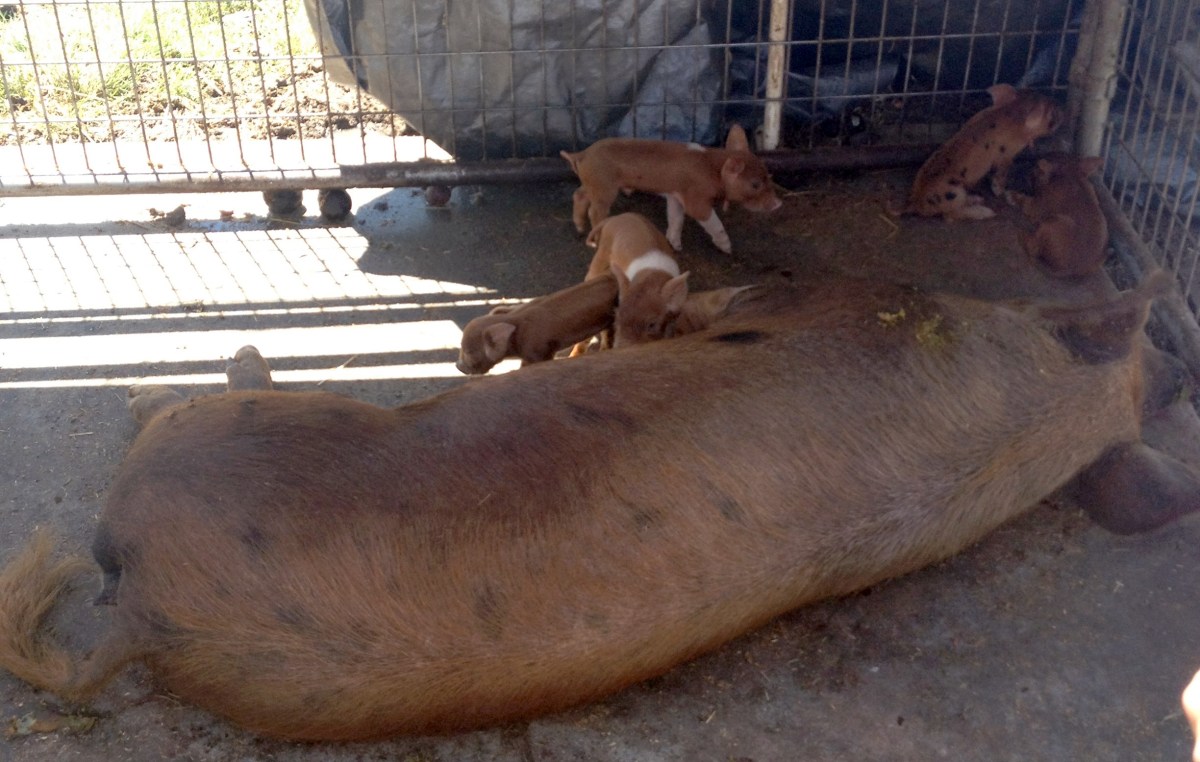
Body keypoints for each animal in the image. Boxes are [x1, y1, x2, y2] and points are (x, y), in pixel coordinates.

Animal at [560, 124, 782, 254]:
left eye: (768, 176)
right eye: (755, 184)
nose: (778, 204)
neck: (713, 167)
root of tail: (581, 154)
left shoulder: (676, 195)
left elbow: (676, 218)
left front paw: (675, 245)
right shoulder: (696, 199)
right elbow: (711, 221)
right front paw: (727, 248)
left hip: (593, 183)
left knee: (578, 195)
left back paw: (579, 228)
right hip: (604, 187)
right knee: (595, 211)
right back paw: (595, 240)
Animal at [902, 84, 1062, 220]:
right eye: (1052, 115)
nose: (1061, 110)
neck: (1012, 113)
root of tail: (915, 203)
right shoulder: (1006, 154)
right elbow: (1001, 173)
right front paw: (1000, 192)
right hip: (954, 193)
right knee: (950, 216)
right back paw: (987, 212)